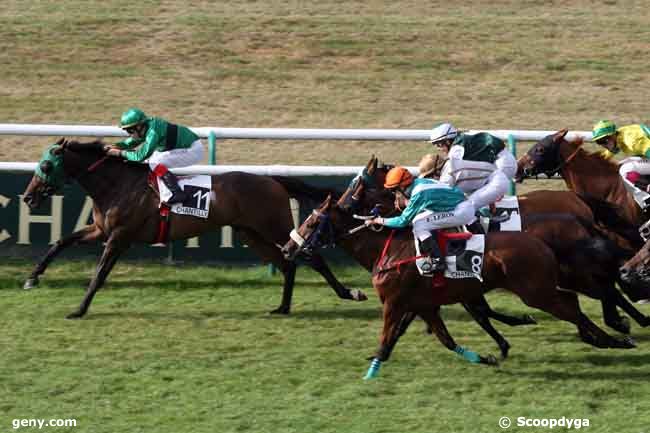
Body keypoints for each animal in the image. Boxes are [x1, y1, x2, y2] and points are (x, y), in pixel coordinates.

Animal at [22, 139, 368, 318]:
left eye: (47, 165)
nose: (28, 197)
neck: (116, 184)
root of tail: (272, 180)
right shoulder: (100, 231)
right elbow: (59, 243)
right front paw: (32, 278)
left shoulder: (119, 238)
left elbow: (99, 274)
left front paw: (79, 309)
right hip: (251, 233)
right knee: (286, 263)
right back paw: (282, 307)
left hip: (275, 227)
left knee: (312, 258)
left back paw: (349, 293)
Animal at [280, 193, 632, 378]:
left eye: (312, 222)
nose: (287, 248)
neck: (389, 250)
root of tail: (541, 241)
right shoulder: (424, 304)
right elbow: (445, 338)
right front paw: (488, 356)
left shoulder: (394, 303)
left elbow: (388, 335)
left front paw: (372, 370)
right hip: (542, 288)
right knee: (573, 302)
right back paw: (608, 336)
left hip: (536, 292)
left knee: (573, 305)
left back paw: (613, 338)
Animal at [340, 155, 648, 330]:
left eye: (357, 185)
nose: (341, 205)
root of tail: (576, 206)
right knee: (606, 285)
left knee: (605, 286)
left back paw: (626, 318)